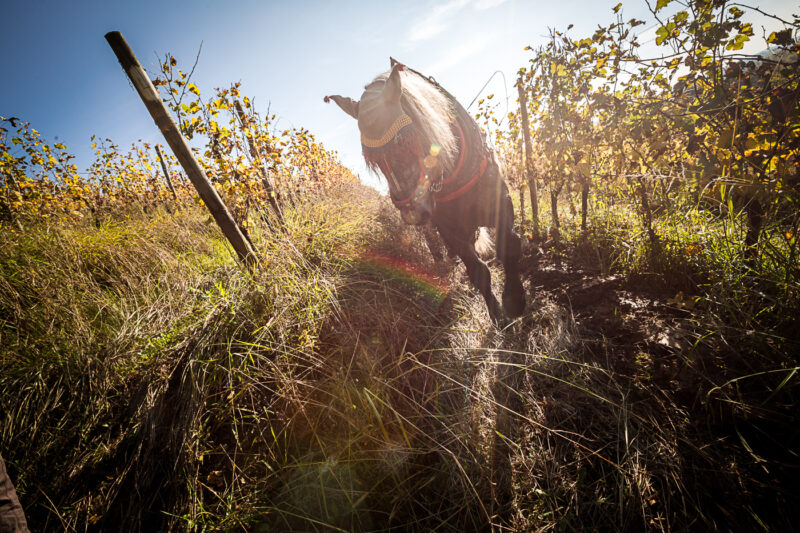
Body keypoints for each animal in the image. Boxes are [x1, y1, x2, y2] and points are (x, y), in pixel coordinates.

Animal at [324, 58, 524, 324]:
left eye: (403, 143)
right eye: (373, 160)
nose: (412, 213)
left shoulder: (499, 202)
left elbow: (509, 244)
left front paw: (514, 301)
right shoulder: (448, 228)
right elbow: (477, 270)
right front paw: (497, 315)